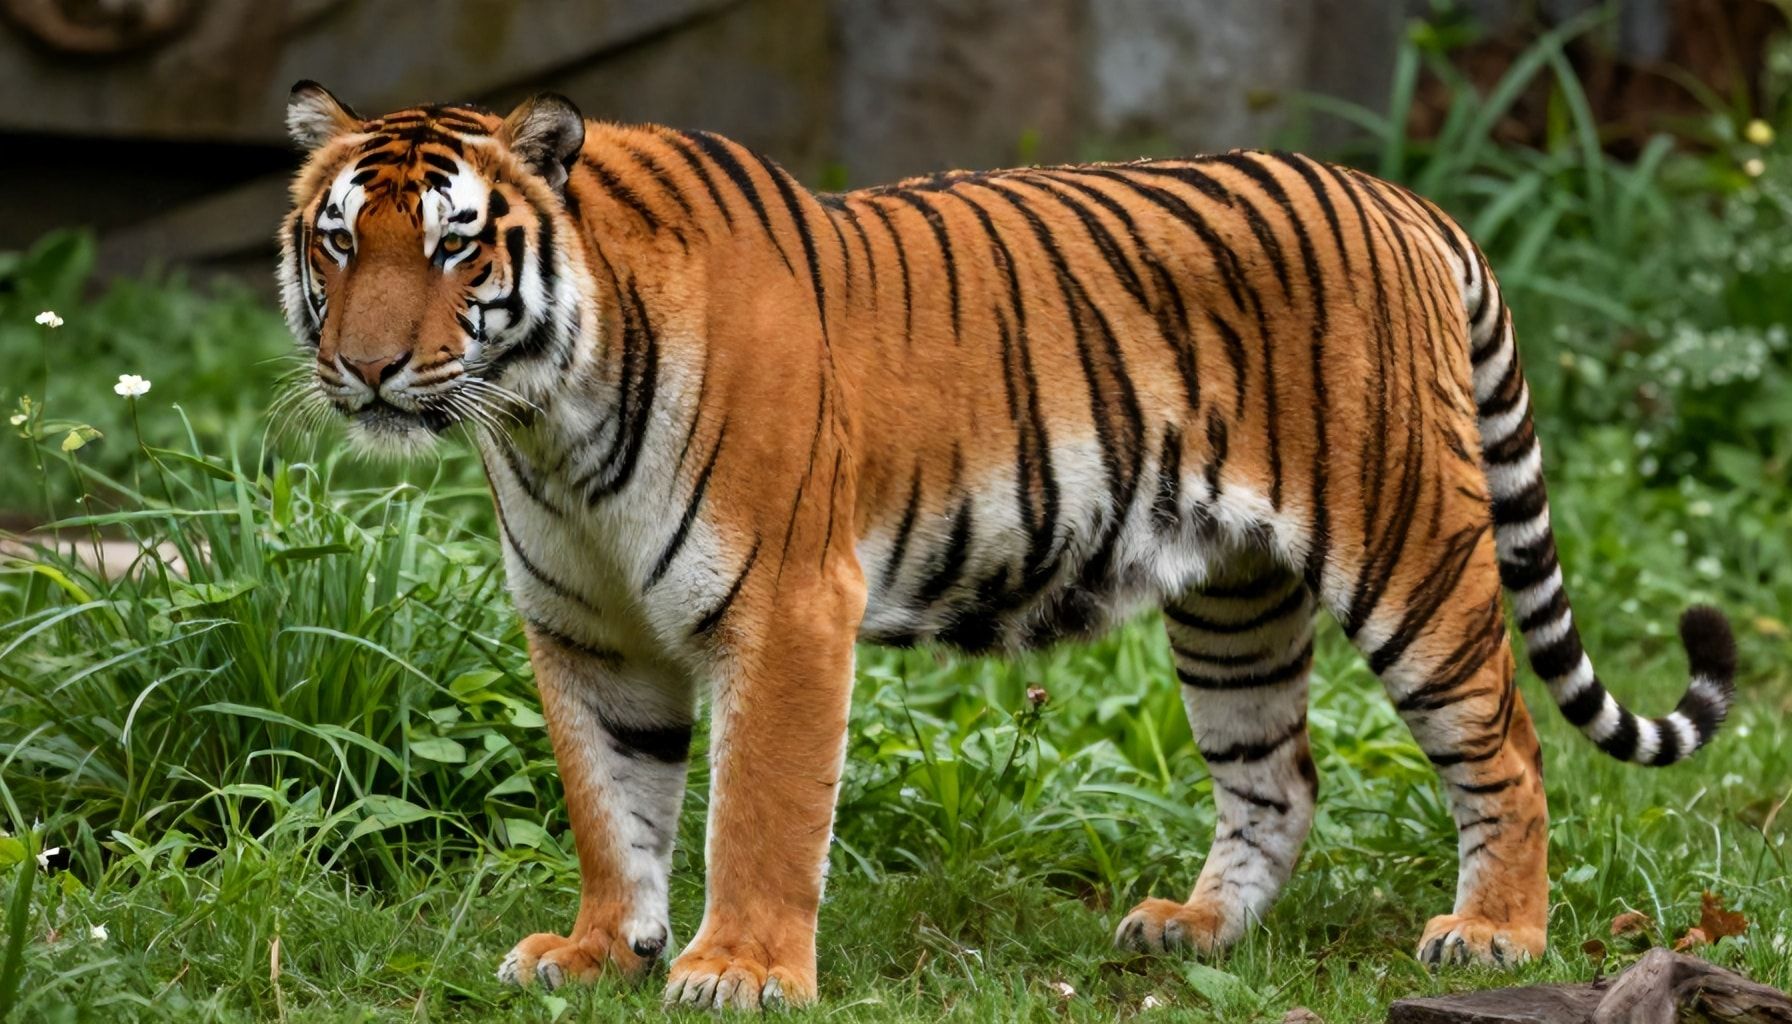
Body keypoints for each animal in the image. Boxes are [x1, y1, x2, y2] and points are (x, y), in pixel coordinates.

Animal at [278, 80, 1738, 1010]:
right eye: (340, 241)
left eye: (458, 248)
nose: (367, 368)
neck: (546, 421)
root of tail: (1408, 203)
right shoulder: (584, 631)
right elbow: (608, 804)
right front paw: (597, 952)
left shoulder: (785, 606)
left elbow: (760, 809)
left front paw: (740, 969)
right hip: (1236, 602)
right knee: (1277, 778)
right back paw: (1193, 930)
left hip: (1410, 547)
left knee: (1509, 745)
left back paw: (1492, 937)